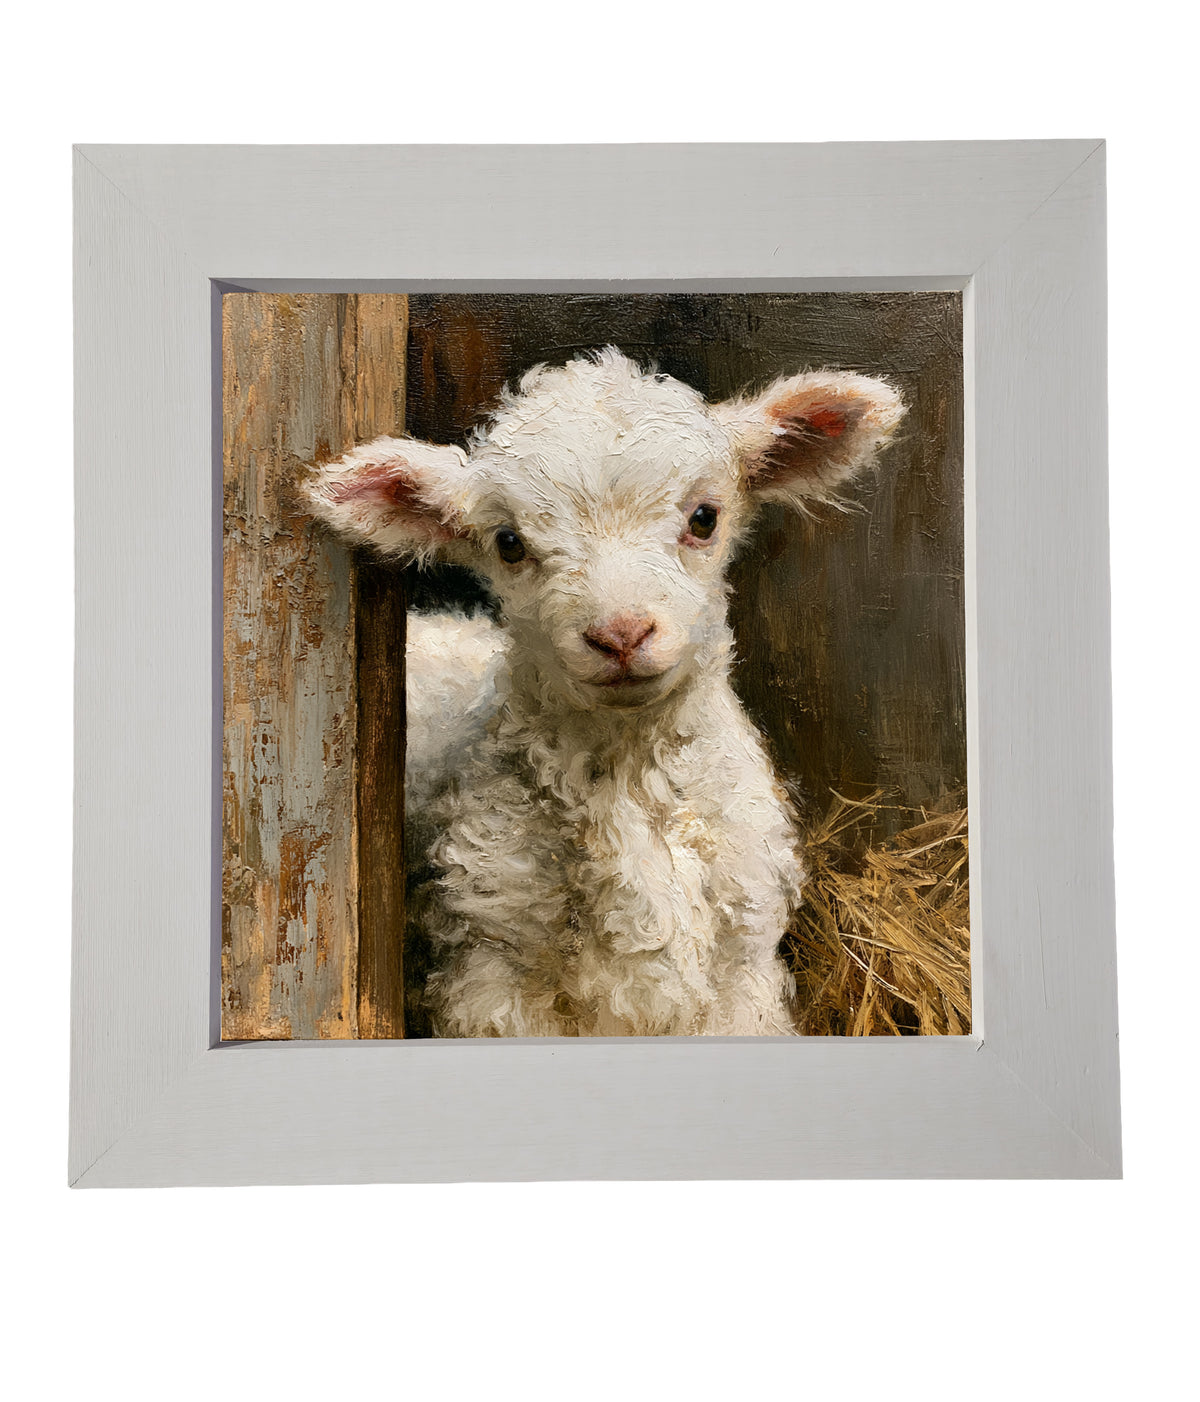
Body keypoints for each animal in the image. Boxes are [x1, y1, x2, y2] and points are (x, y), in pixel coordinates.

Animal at [304, 349, 904, 1037]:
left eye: (704, 518)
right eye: (508, 543)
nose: (620, 634)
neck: (629, 776)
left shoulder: (742, 970)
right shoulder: (491, 973)